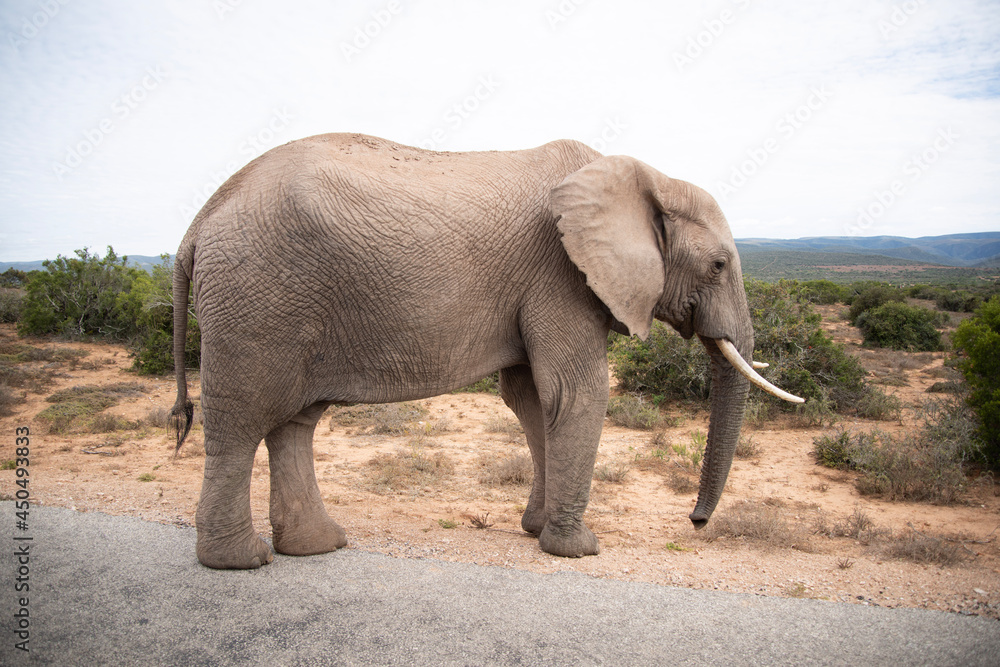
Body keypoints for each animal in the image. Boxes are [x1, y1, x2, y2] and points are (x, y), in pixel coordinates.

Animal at [171, 132, 802, 569]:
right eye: (717, 265)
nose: (695, 523)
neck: (642, 177)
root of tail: (196, 225)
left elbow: (531, 400)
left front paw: (535, 529)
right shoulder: (560, 275)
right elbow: (575, 393)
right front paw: (578, 549)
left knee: (294, 422)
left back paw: (318, 546)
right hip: (255, 298)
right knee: (241, 424)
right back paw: (241, 561)